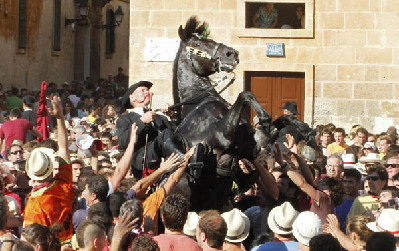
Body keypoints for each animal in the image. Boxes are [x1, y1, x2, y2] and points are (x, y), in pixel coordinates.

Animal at [172, 16, 272, 211]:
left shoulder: (250, 149)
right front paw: (264, 118)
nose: (231, 54)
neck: (199, 100)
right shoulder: (221, 136)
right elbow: (244, 94)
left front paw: (267, 123)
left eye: (210, 40)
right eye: (197, 43)